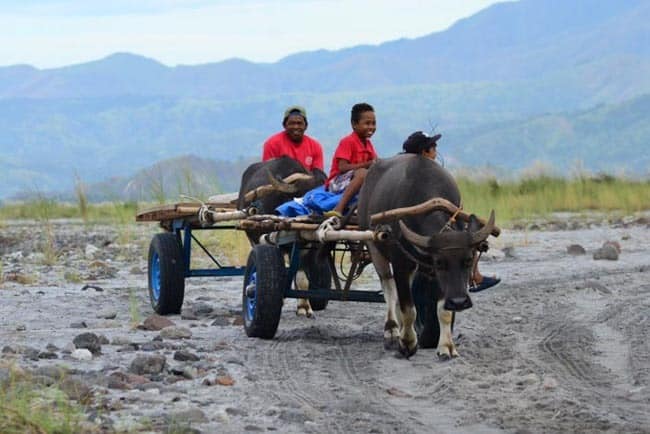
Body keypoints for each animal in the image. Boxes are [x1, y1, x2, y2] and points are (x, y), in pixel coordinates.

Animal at [237, 156, 330, 316]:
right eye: (307, 194)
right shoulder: (273, 243)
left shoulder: (305, 248)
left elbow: (302, 278)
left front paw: (304, 307)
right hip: (253, 238)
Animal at [356, 154, 494, 358]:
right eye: (440, 263)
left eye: (468, 260)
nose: (459, 302)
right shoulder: (401, 263)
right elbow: (408, 308)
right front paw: (407, 343)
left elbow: (442, 310)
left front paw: (446, 346)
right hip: (373, 246)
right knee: (389, 286)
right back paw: (392, 330)